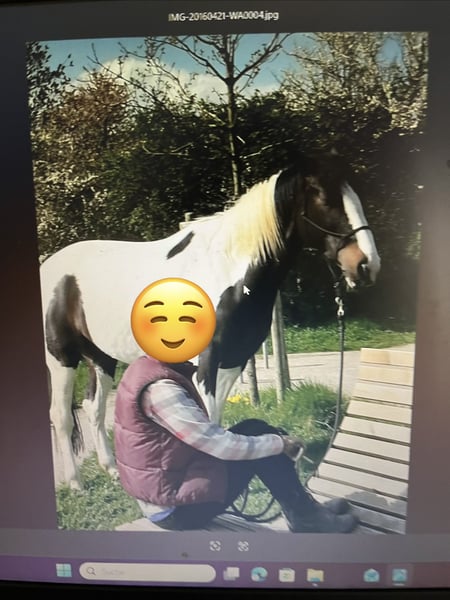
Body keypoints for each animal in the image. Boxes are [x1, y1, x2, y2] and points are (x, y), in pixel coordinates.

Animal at [40, 152, 381, 490]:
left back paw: (111, 469)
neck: (228, 270)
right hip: (61, 358)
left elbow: (215, 421)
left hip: (100, 356)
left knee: (93, 408)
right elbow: (206, 421)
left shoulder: (233, 361)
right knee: (61, 415)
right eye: (324, 197)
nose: (368, 265)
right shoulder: (205, 361)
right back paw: (75, 482)